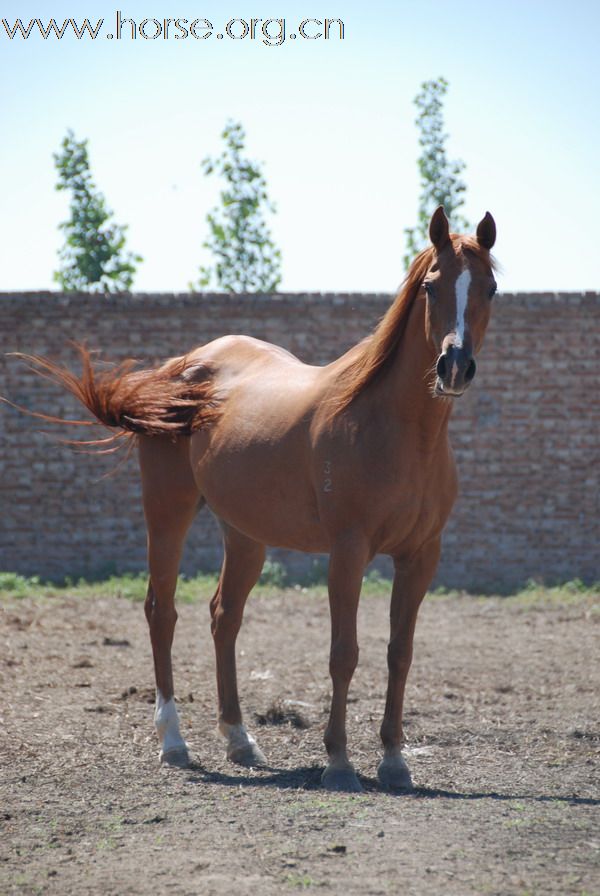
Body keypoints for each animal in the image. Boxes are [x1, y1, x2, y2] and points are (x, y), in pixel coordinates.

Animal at [8, 208, 496, 792]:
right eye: (430, 286)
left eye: (490, 289)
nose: (454, 367)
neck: (394, 429)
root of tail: (182, 366)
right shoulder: (348, 551)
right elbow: (344, 653)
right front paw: (339, 762)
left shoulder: (421, 556)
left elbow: (399, 653)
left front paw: (394, 760)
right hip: (167, 512)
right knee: (161, 612)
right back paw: (174, 742)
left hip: (244, 535)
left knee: (225, 617)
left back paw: (239, 739)